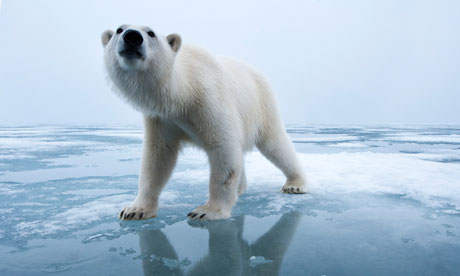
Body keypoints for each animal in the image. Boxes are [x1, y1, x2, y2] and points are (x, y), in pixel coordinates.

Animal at [102, 24, 308, 221]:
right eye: (119, 29)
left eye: (151, 33)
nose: (132, 37)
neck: (183, 92)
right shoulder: (161, 118)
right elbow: (157, 156)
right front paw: (135, 210)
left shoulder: (208, 98)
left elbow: (223, 148)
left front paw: (207, 211)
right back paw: (240, 188)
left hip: (262, 105)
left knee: (275, 145)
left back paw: (295, 184)